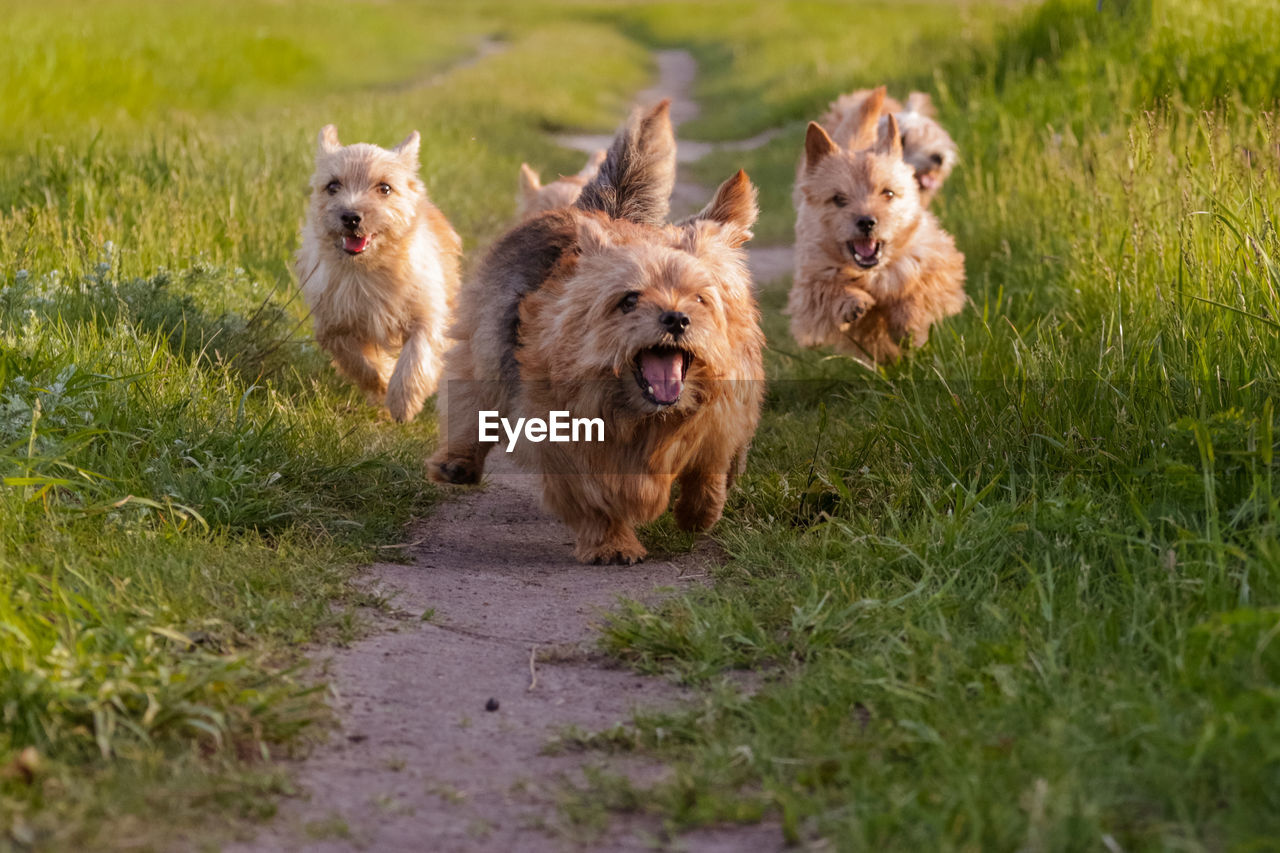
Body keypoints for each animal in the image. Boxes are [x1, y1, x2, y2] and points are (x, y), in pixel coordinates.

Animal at [296, 124, 463, 420]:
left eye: (384, 188)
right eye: (333, 186)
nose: (351, 217)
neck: (367, 271)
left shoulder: (428, 313)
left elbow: (417, 354)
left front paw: (403, 401)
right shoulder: (334, 325)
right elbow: (359, 362)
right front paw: (384, 382)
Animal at [435, 99, 762, 563]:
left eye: (700, 298)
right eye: (629, 299)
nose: (676, 319)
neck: (645, 416)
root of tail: (600, 209)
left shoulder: (724, 415)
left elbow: (710, 467)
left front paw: (699, 511)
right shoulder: (567, 435)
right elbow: (593, 493)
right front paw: (612, 541)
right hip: (487, 344)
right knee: (471, 398)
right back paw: (458, 460)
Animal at [783, 87, 962, 363]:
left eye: (888, 193)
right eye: (838, 198)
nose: (867, 221)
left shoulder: (936, 262)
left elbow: (917, 290)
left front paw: (907, 324)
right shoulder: (807, 288)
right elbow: (825, 292)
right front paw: (852, 302)